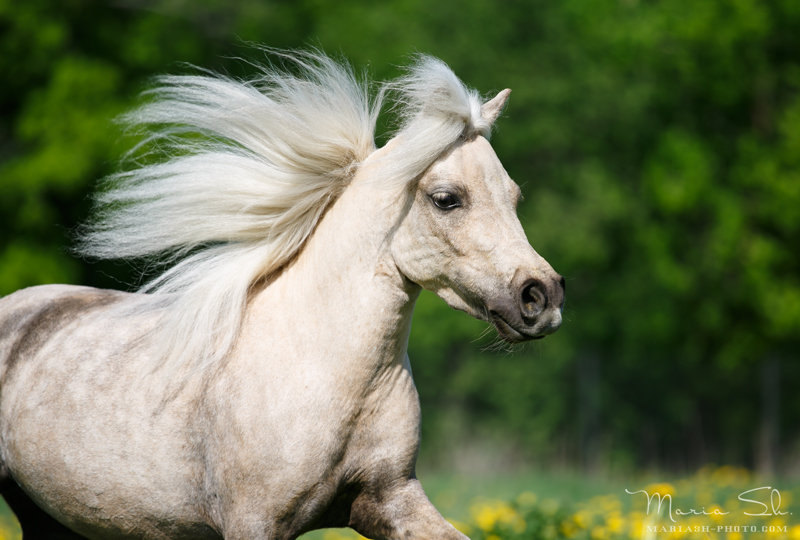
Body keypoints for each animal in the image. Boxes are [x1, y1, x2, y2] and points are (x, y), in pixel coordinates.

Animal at [0, 51, 564, 540]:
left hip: (47, 516)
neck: (326, 372)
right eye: (446, 199)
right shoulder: (255, 522)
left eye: (514, 196)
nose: (542, 297)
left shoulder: (389, 498)